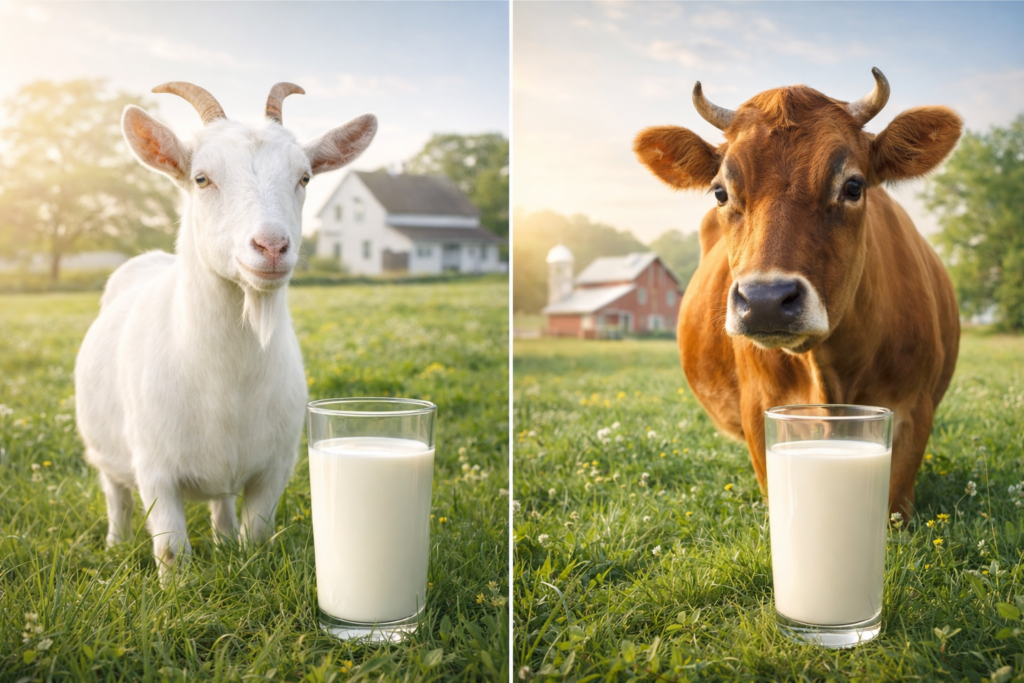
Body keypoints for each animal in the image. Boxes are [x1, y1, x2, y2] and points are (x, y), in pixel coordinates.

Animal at [75, 82, 376, 577]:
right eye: (202, 179)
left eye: (304, 178)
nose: (271, 246)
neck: (227, 379)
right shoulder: (155, 470)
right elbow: (172, 551)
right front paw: (175, 589)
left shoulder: (275, 467)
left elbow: (257, 535)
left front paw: (244, 562)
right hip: (105, 451)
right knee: (116, 495)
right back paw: (116, 546)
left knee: (221, 503)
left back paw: (223, 538)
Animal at [634, 68, 962, 519]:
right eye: (720, 191)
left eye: (853, 186)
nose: (765, 301)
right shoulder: (760, 409)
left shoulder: (913, 407)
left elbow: (894, 508)